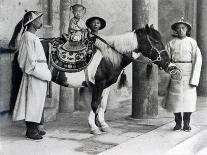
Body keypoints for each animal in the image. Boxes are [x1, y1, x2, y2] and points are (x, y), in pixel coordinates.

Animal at [44, 24, 180, 134]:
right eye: (155, 41)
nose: (168, 63)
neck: (108, 57)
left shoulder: (107, 85)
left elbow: (103, 104)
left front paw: (103, 125)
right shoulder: (99, 83)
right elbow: (95, 103)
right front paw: (93, 127)